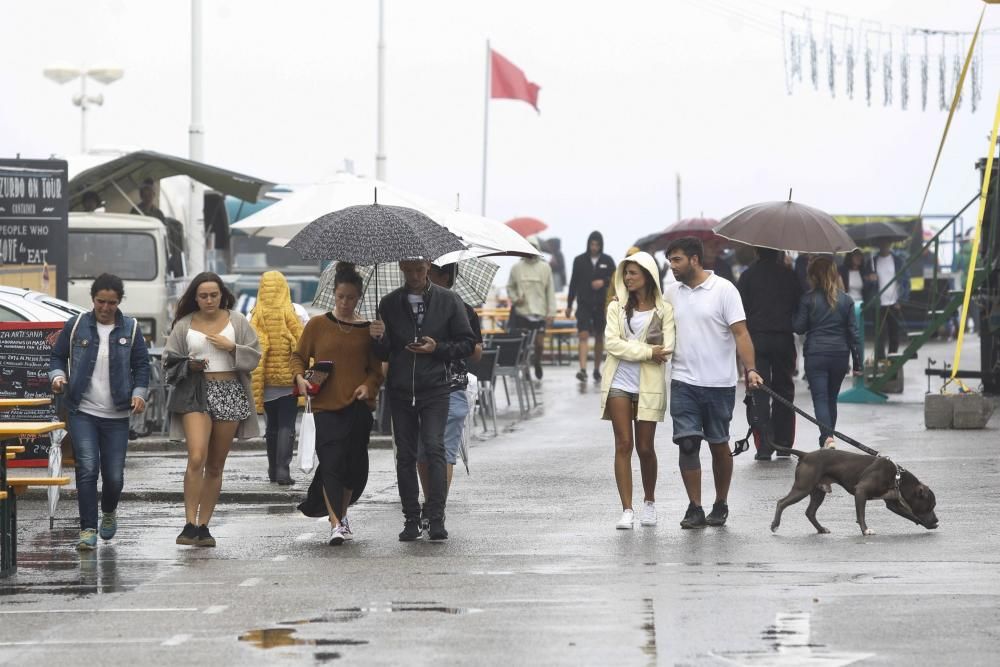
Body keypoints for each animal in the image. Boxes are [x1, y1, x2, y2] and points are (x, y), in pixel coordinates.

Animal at [768, 446, 940, 536]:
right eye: (930, 506)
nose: (937, 520)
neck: (897, 477)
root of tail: (805, 455)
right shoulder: (861, 492)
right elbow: (861, 514)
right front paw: (865, 530)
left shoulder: (893, 504)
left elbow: (911, 515)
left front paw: (926, 524)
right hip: (803, 488)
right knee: (781, 503)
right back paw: (775, 524)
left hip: (818, 492)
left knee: (810, 512)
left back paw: (821, 529)